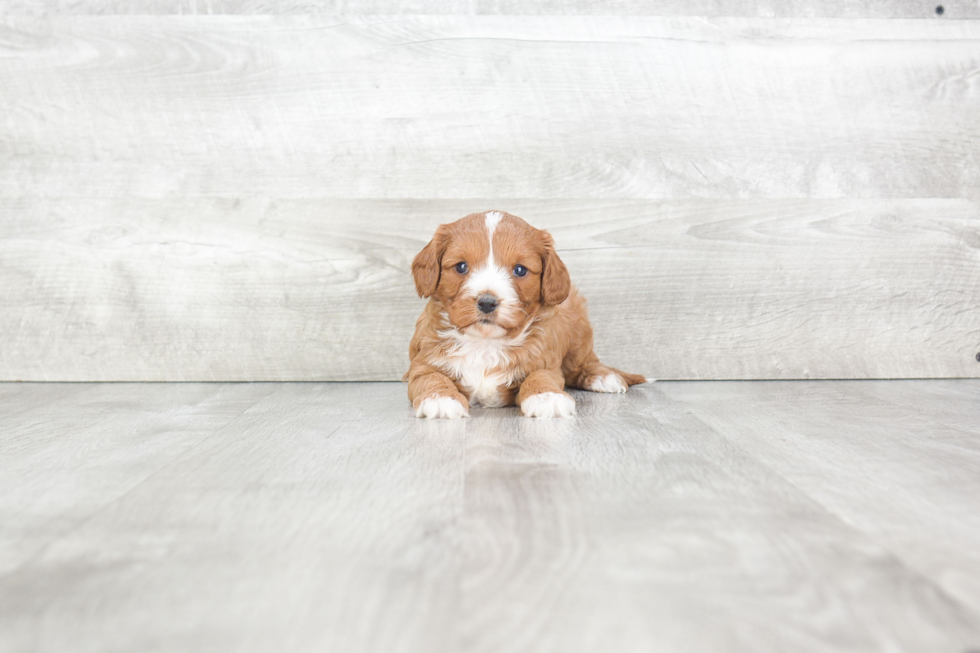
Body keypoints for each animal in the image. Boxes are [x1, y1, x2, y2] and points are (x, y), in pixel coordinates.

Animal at [402, 211, 648, 420]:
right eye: (461, 266)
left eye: (520, 270)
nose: (487, 302)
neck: (485, 342)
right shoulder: (422, 363)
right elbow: (430, 377)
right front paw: (440, 398)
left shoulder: (545, 361)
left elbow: (540, 375)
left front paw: (546, 396)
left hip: (578, 333)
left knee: (584, 363)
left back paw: (604, 377)